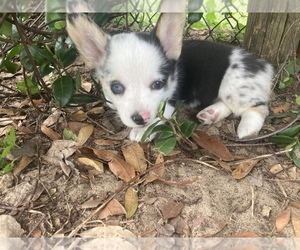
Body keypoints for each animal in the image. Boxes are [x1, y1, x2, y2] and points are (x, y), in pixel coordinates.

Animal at [66, 0, 274, 142]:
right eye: (116, 87)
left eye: (158, 84)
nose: (141, 119)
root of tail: (264, 65)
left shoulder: (168, 103)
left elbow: (159, 118)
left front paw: (142, 132)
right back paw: (211, 113)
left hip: (234, 87)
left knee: (258, 107)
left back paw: (247, 127)